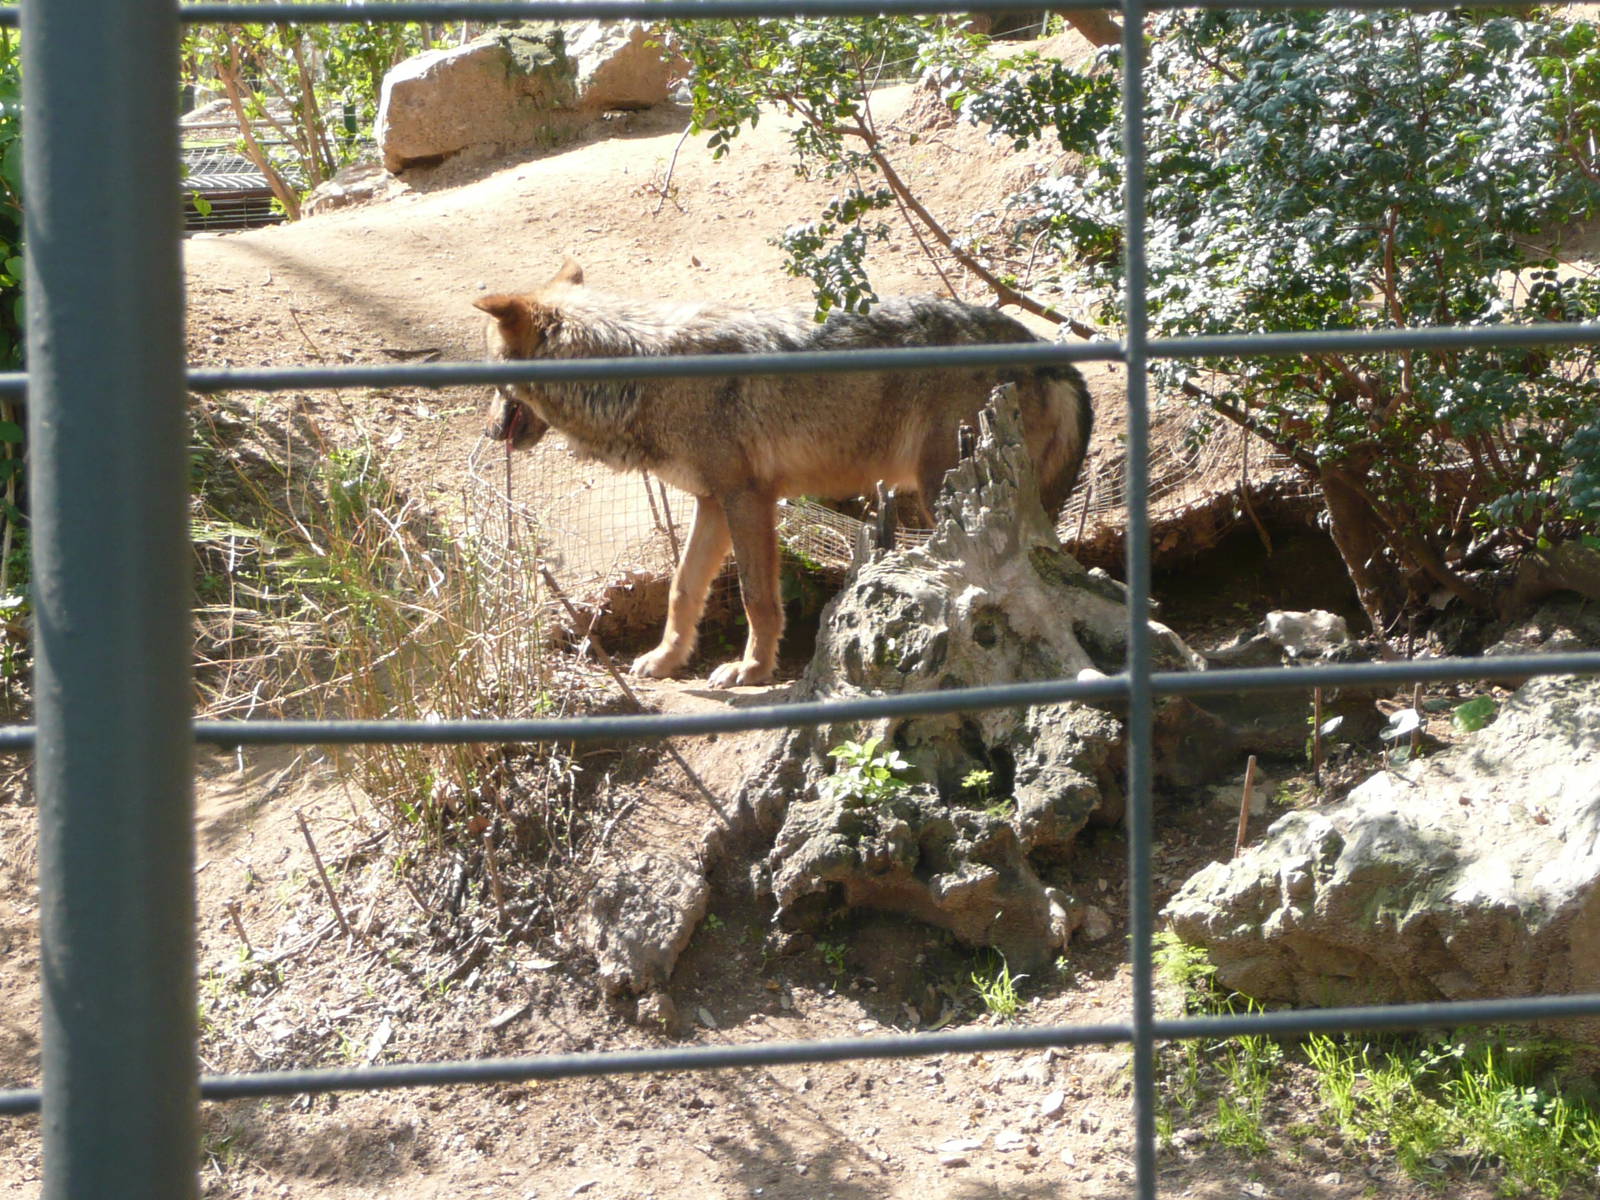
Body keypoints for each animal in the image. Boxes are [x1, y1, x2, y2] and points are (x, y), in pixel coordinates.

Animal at [475, 259, 1092, 688]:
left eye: (491, 373)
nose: (488, 430)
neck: (641, 376)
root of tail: (1047, 350)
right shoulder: (712, 501)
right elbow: (682, 589)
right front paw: (666, 659)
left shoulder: (748, 498)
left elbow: (756, 597)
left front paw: (751, 671)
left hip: (945, 486)